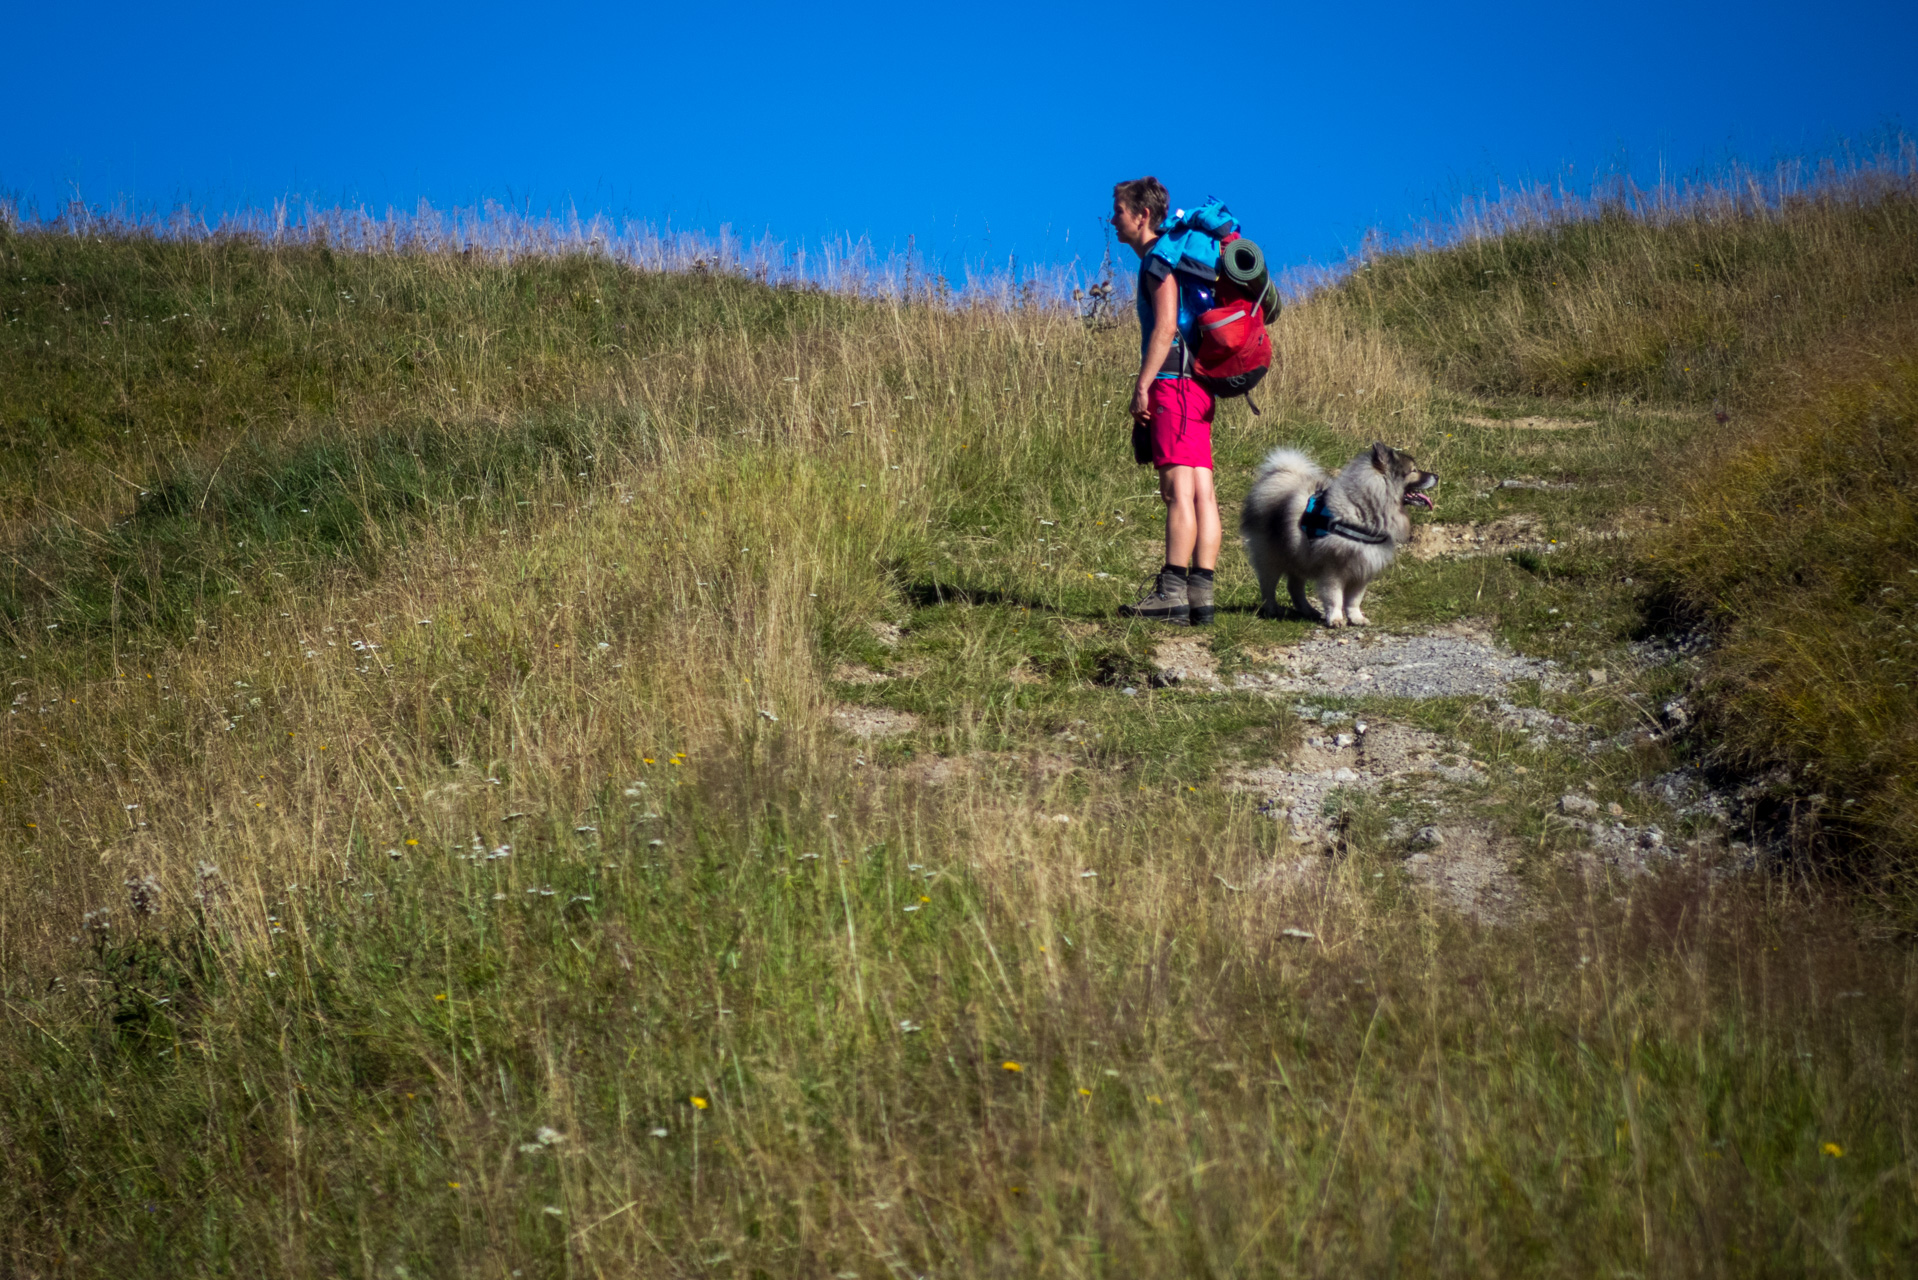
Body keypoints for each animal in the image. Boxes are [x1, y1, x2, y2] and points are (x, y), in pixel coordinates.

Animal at [1242, 443, 1442, 629]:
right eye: (1414, 470)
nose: (1437, 476)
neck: (1363, 511)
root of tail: (1279, 475)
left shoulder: (1363, 569)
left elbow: (1354, 600)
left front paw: (1356, 618)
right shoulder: (1333, 570)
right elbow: (1335, 598)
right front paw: (1336, 619)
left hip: (1298, 556)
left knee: (1294, 587)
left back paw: (1308, 610)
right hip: (1270, 558)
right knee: (1268, 587)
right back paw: (1272, 609)